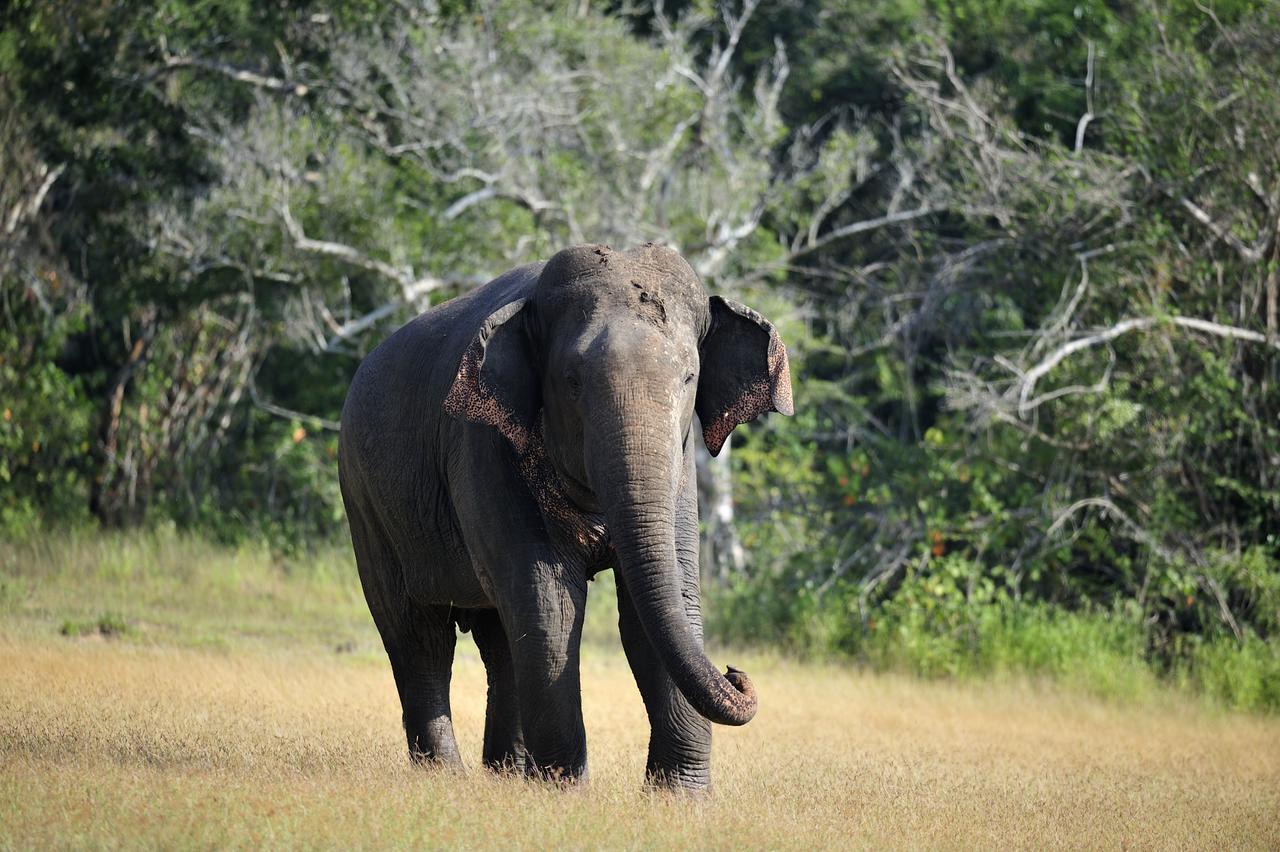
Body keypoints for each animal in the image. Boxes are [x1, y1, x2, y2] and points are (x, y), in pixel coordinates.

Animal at [332, 241, 788, 788]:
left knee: (500, 636)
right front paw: (567, 791)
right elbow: (550, 602)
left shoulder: (680, 475)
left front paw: (680, 797)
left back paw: (508, 777)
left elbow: (659, 607)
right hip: (365, 503)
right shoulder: (484, 447)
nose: (736, 673)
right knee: (418, 635)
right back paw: (447, 777)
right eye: (571, 381)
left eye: (689, 377)